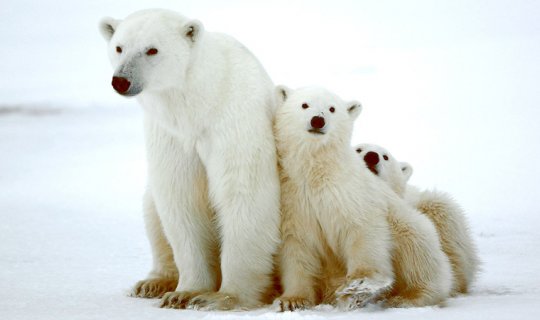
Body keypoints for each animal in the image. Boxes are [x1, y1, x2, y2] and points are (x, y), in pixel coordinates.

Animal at [98, 9, 280, 310]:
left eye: (152, 49)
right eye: (119, 47)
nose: (121, 81)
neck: (198, 104)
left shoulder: (234, 121)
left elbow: (244, 193)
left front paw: (223, 297)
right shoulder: (171, 135)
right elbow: (181, 198)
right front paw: (184, 293)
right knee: (152, 210)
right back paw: (153, 283)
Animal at [272, 86, 454, 312]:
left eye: (332, 108)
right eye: (304, 104)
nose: (318, 120)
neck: (317, 172)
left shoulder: (352, 193)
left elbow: (363, 231)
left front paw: (358, 286)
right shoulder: (295, 201)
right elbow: (297, 248)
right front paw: (292, 300)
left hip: (410, 226)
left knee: (417, 253)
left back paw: (408, 297)